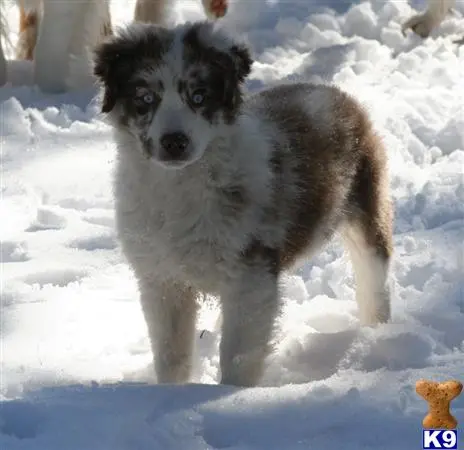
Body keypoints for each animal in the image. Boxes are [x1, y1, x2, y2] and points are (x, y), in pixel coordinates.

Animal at [94, 22, 396, 386]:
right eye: (145, 99)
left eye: (199, 96)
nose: (174, 142)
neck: (181, 184)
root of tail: (335, 94)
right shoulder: (162, 278)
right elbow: (171, 355)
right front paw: (171, 393)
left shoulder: (251, 273)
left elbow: (238, 355)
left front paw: (231, 395)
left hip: (367, 210)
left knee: (373, 282)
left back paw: (377, 336)